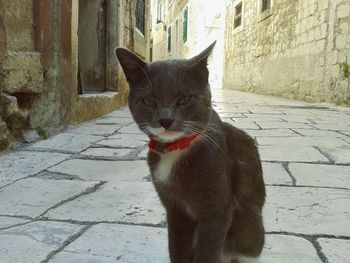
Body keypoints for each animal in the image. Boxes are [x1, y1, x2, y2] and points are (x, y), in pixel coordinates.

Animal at [115, 42, 266, 262]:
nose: (165, 120)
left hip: (251, 229)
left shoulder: (218, 210)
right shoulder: (175, 210)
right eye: (149, 101)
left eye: (184, 99)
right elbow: (176, 248)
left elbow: (208, 252)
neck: (174, 150)